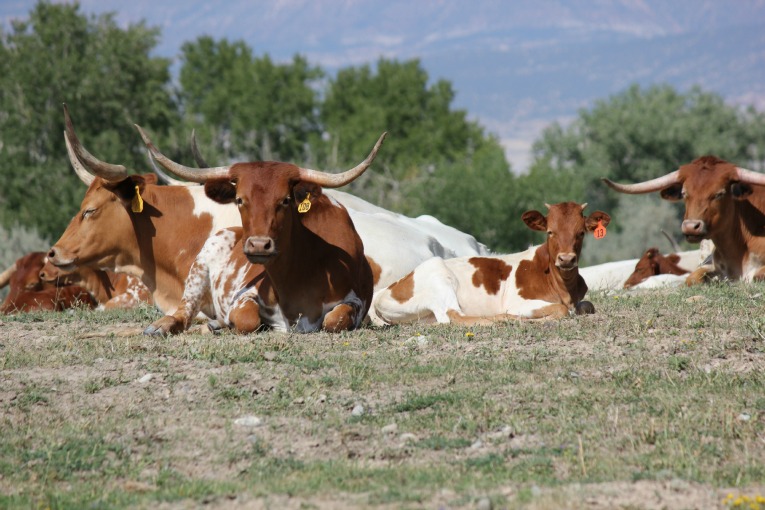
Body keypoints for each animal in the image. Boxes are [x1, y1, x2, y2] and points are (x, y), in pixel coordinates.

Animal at [138, 127, 384, 332]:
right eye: (239, 199)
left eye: (285, 200)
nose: (258, 245)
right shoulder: (245, 294)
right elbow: (248, 319)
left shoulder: (356, 302)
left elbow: (335, 319)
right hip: (199, 268)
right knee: (185, 312)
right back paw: (162, 326)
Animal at [374, 201, 612, 324]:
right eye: (550, 231)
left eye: (581, 233)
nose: (566, 259)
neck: (564, 288)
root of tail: (384, 292)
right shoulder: (519, 302)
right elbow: (561, 310)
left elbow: (588, 305)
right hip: (438, 276)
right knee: (454, 316)